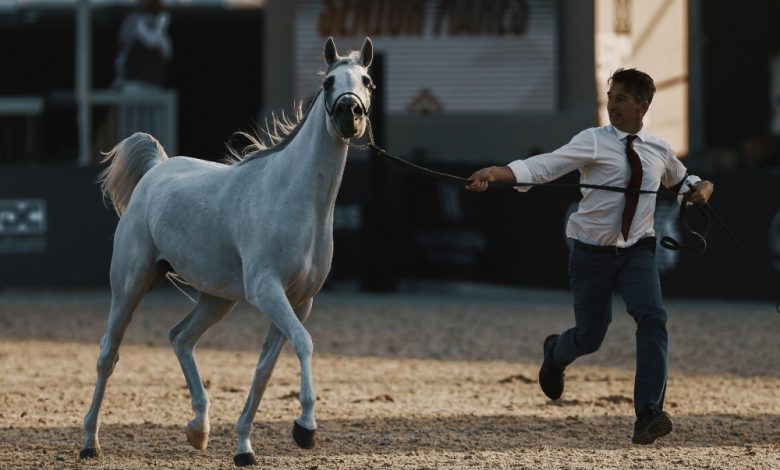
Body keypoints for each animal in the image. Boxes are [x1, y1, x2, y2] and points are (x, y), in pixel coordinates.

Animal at [80, 36, 374, 466]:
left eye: (367, 81)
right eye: (328, 83)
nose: (347, 114)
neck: (294, 197)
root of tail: (157, 169)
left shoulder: (298, 301)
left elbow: (264, 370)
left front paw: (244, 448)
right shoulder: (267, 290)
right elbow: (304, 343)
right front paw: (305, 428)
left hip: (217, 299)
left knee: (180, 338)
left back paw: (198, 428)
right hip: (130, 286)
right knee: (107, 355)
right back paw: (90, 443)